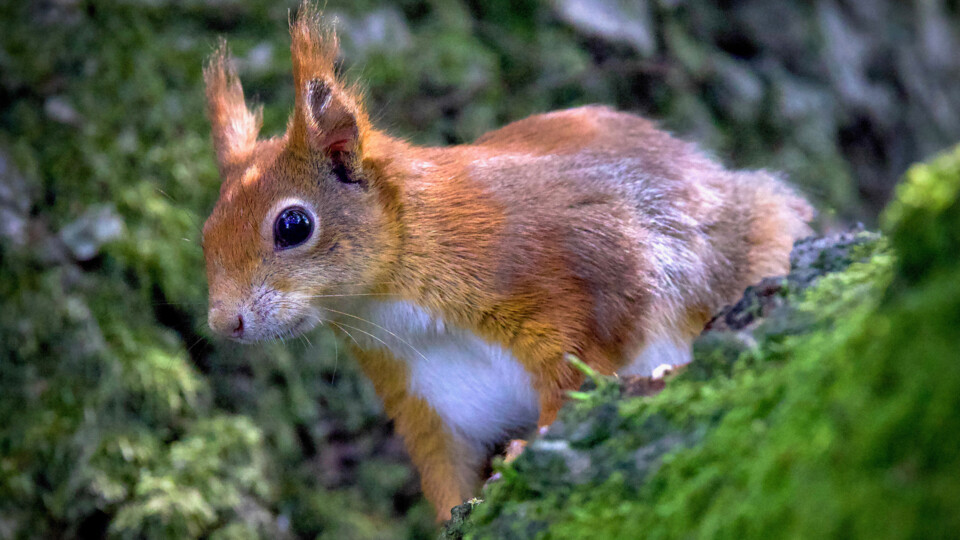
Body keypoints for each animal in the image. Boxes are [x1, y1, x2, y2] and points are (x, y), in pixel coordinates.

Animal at [201, 3, 813, 521]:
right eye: (205, 233)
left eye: (293, 226)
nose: (224, 323)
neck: (393, 304)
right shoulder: (426, 399)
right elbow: (445, 473)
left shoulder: (575, 270)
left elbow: (579, 370)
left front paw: (525, 451)